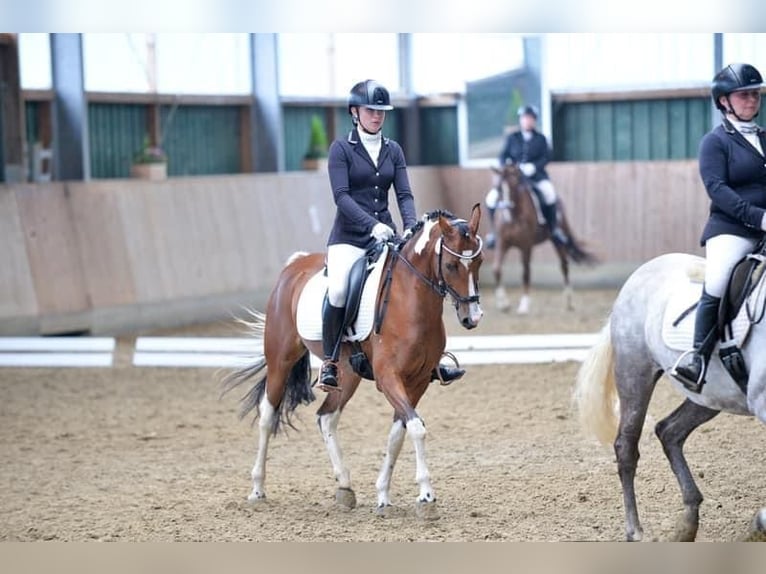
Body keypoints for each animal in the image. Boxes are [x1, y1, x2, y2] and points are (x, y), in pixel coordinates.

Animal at [222, 205, 486, 520]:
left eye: (479, 261)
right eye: (451, 265)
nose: (472, 318)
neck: (410, 300)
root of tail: (295, 265)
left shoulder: (418, 381)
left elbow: (398, 433)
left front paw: (383, 496)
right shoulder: (388, 378)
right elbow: (416, 428)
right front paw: (426, 497)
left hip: (347, 373)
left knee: (326, 416)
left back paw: (345, 486)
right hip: (280, 361)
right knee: (267, 416)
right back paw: (257, 490)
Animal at [492, 163, 600, 316]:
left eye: (515, 186)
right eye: (499, 188)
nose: (506, 215)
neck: (514, 216)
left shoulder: (526, 246)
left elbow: (526, 273)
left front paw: (524, 305)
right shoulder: (502, 243)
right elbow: (496, 269)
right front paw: (503, 304)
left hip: (557, 240)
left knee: (564, 266)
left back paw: (569, 302)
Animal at [576, 253, 766, 544]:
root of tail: (646, 268)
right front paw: (759, 523)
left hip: (711, 397)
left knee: (669, 431)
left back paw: (687, 524)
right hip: (635, 373)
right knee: (626, 446)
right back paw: (635, 531)